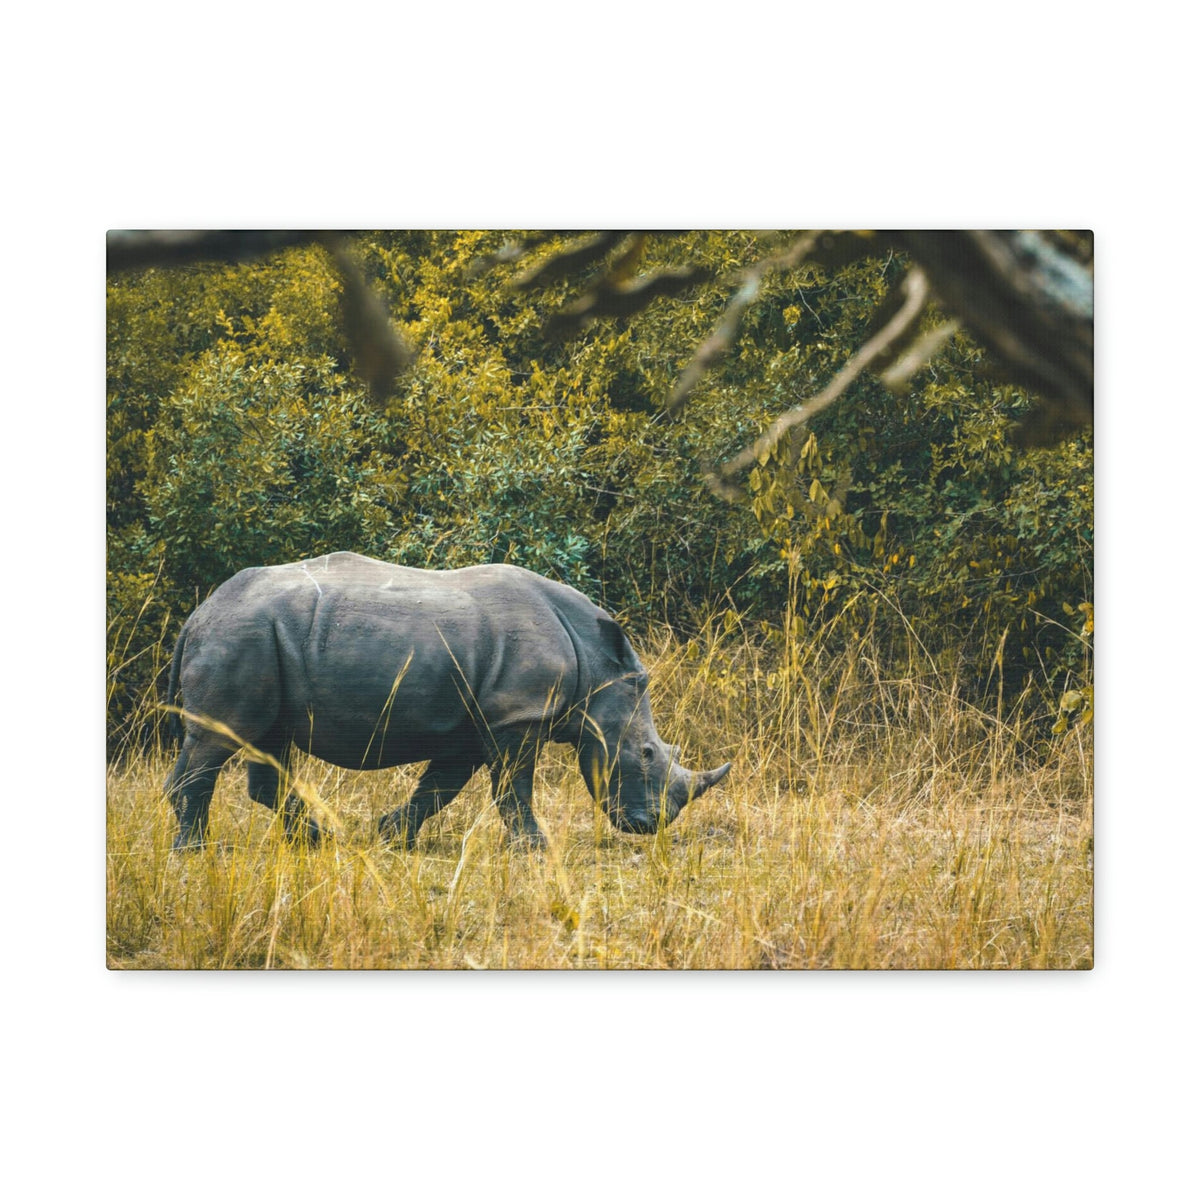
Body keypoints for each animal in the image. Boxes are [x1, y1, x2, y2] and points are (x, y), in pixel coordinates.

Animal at [163, 551, 731, 851]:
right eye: (648, 754)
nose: (650, 827)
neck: (597, 666)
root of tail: (198, 615)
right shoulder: (518, 716)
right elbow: (513, 789)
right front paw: (535, 848)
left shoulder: (478, 723)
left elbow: (440, 788)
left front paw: (391, 836)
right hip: (241, 635)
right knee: (219, 740)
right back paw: (195, 852)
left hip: (259, 639)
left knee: (269, 744)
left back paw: (318, 841)